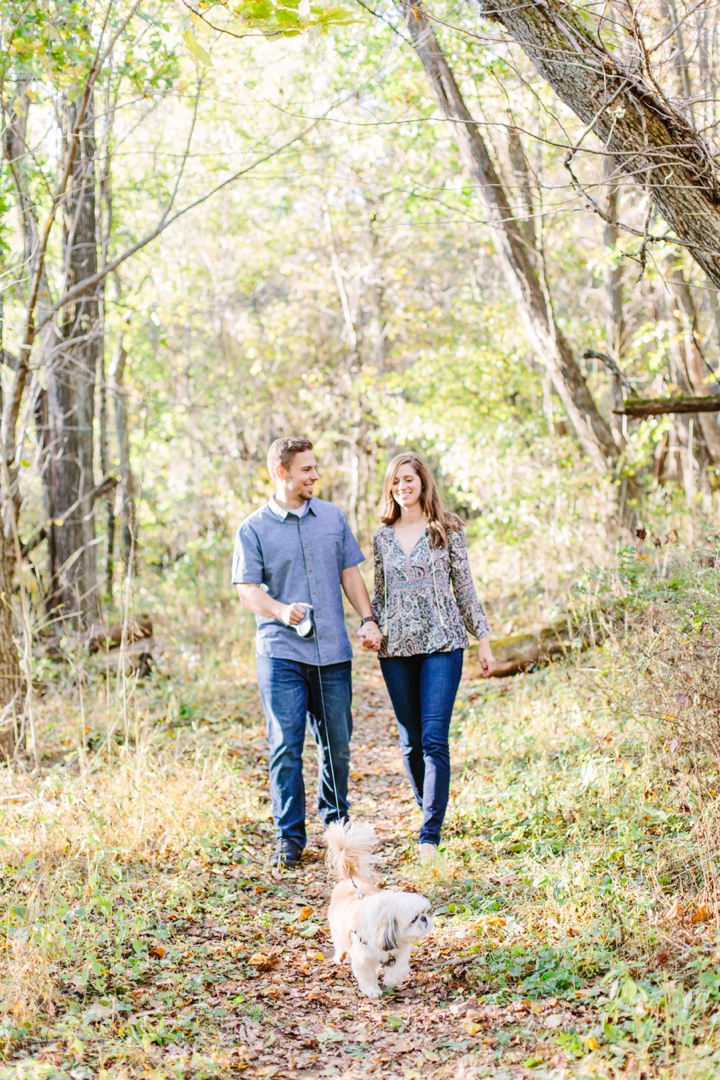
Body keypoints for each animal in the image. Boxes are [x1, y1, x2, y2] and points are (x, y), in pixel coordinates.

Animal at [325, 820, 433, 997]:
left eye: (424, 913)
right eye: (413, 919)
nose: (424, 919)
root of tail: (350, 878)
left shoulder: (400, 951)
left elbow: (398, 968)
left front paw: (391, 980)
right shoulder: (362, 958)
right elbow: (367, 975)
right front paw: (372, 990)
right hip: (336, 929)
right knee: (340, 944)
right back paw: (342, 957)